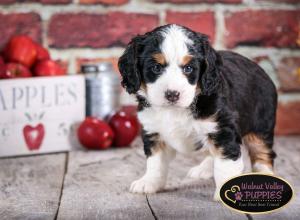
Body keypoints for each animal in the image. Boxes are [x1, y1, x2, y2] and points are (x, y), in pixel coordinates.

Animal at [116, 24, 276, 201]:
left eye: (188, 68)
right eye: (156, 67)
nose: (172, 94)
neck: (175, 111)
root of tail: (260, 68)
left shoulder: (222, 129)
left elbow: (225, 163)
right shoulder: (153, 131)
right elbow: (155, 163)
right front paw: (149, 182)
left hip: (260, 126)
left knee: (262, 153)